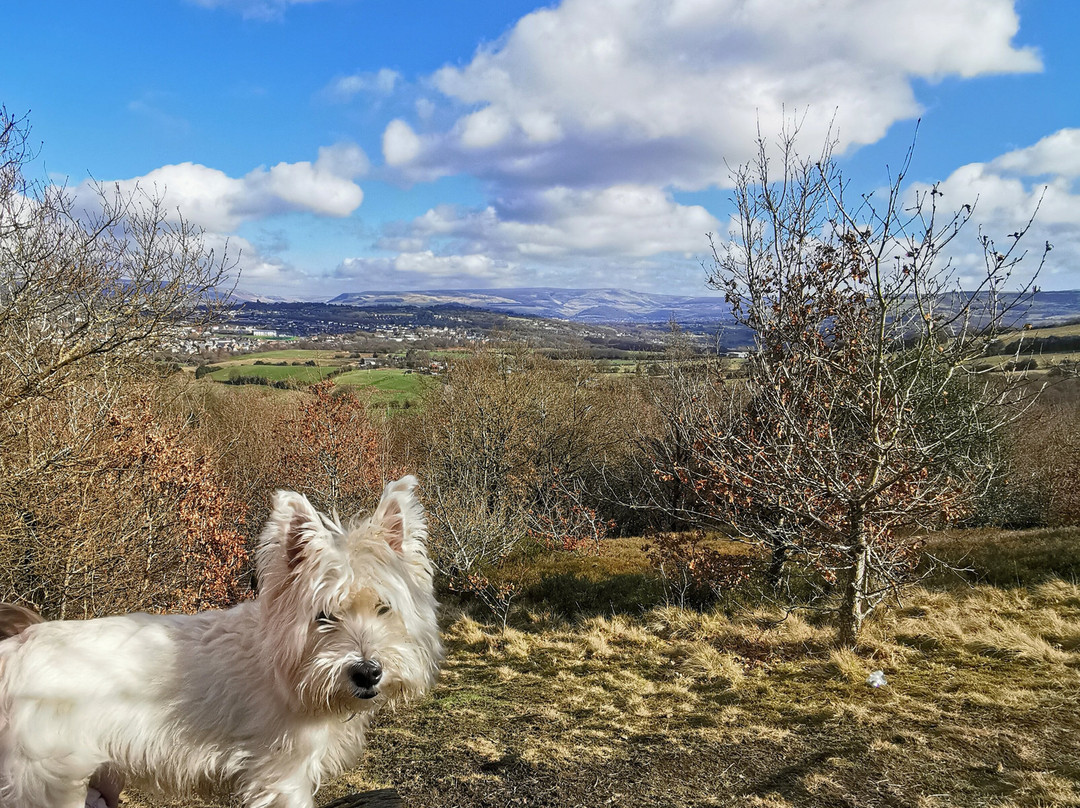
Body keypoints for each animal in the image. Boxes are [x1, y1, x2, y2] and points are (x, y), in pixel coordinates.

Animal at [0, 473, 442, 808]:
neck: (286, 665)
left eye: (384, 608)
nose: (367, 672)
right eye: (323, 616)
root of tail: (14, 650)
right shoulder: (281, 776)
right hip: (45, 783)